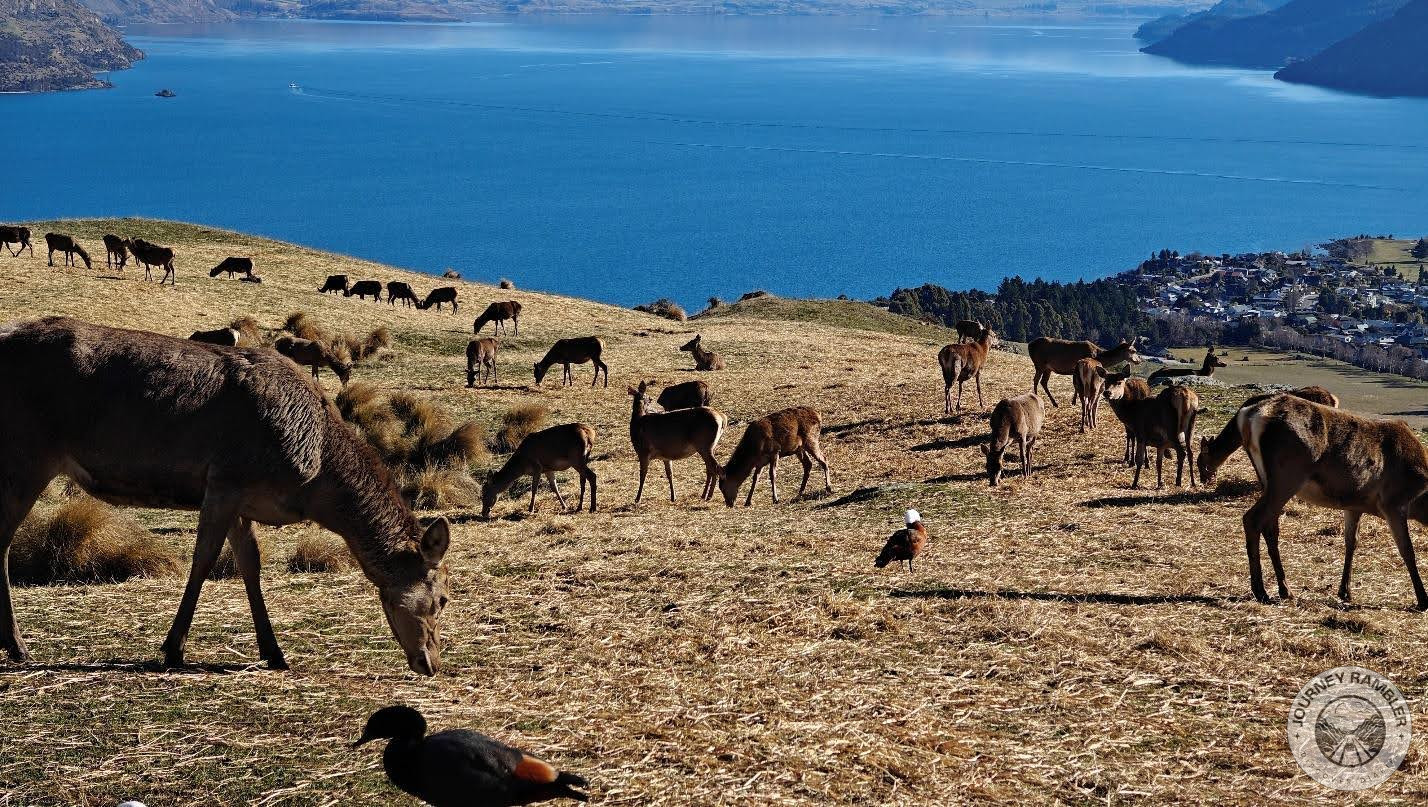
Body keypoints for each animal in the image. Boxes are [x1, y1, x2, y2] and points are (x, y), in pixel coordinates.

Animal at [0, 317, 451, 675]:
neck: (313, 479)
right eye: (444, 599)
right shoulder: (225, 479)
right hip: (27, 453)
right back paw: (18, 646)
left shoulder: (242, 499)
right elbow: (203, 560)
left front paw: (274, 652)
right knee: (2, 540)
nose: (431, 663)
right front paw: (172, 649)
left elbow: (250, 564)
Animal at [1229, 394, 1428, 610]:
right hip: (1287, 477)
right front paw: (1422, 599)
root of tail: (1247, 417)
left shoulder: (1355, 505)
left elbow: (1351, 542)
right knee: (1253, 519)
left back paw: (1284, 589)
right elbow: (1407, 549)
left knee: (1270, 526)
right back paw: (1261, 591)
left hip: (1266, 480)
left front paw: (1345, 591)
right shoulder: (1393, 502)